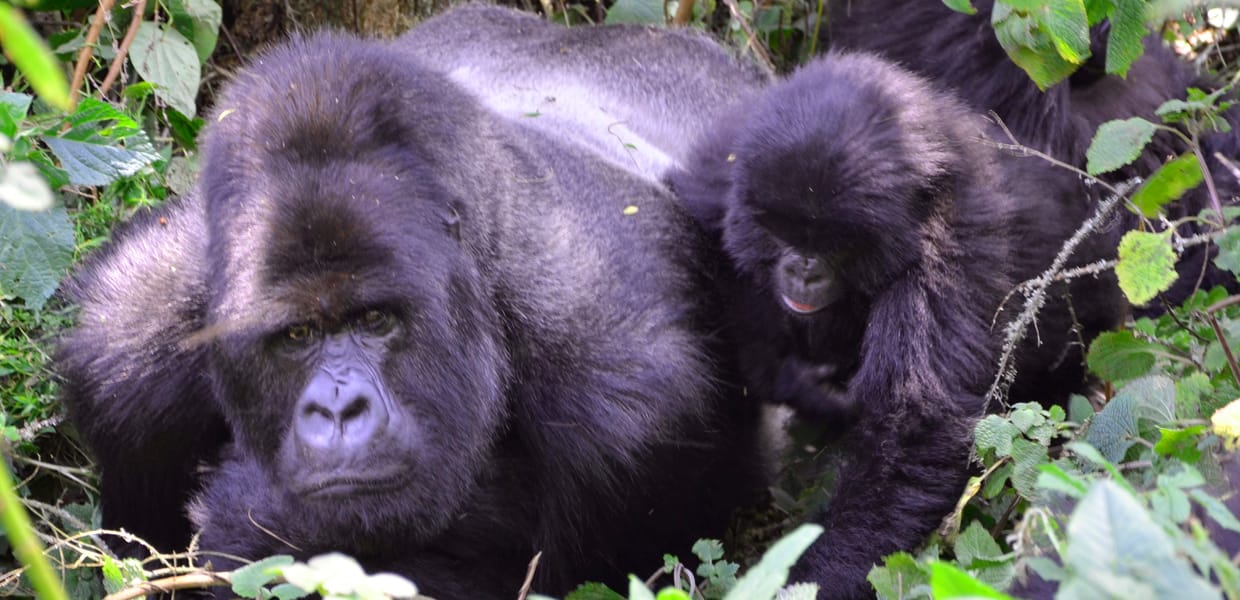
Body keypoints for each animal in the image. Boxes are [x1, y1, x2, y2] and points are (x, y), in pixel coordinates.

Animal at [62, 22, 768, 595]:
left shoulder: (635, 422)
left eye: (376, 321)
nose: (338, 410)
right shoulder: (127, 345)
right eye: (297, 334)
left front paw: (245, 517)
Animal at [674, 53, 1021, 597]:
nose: (804, 270)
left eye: (834, 243)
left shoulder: (947, 254)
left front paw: (813, 576)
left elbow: (910, 432)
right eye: (786, 231)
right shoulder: (716, 183)